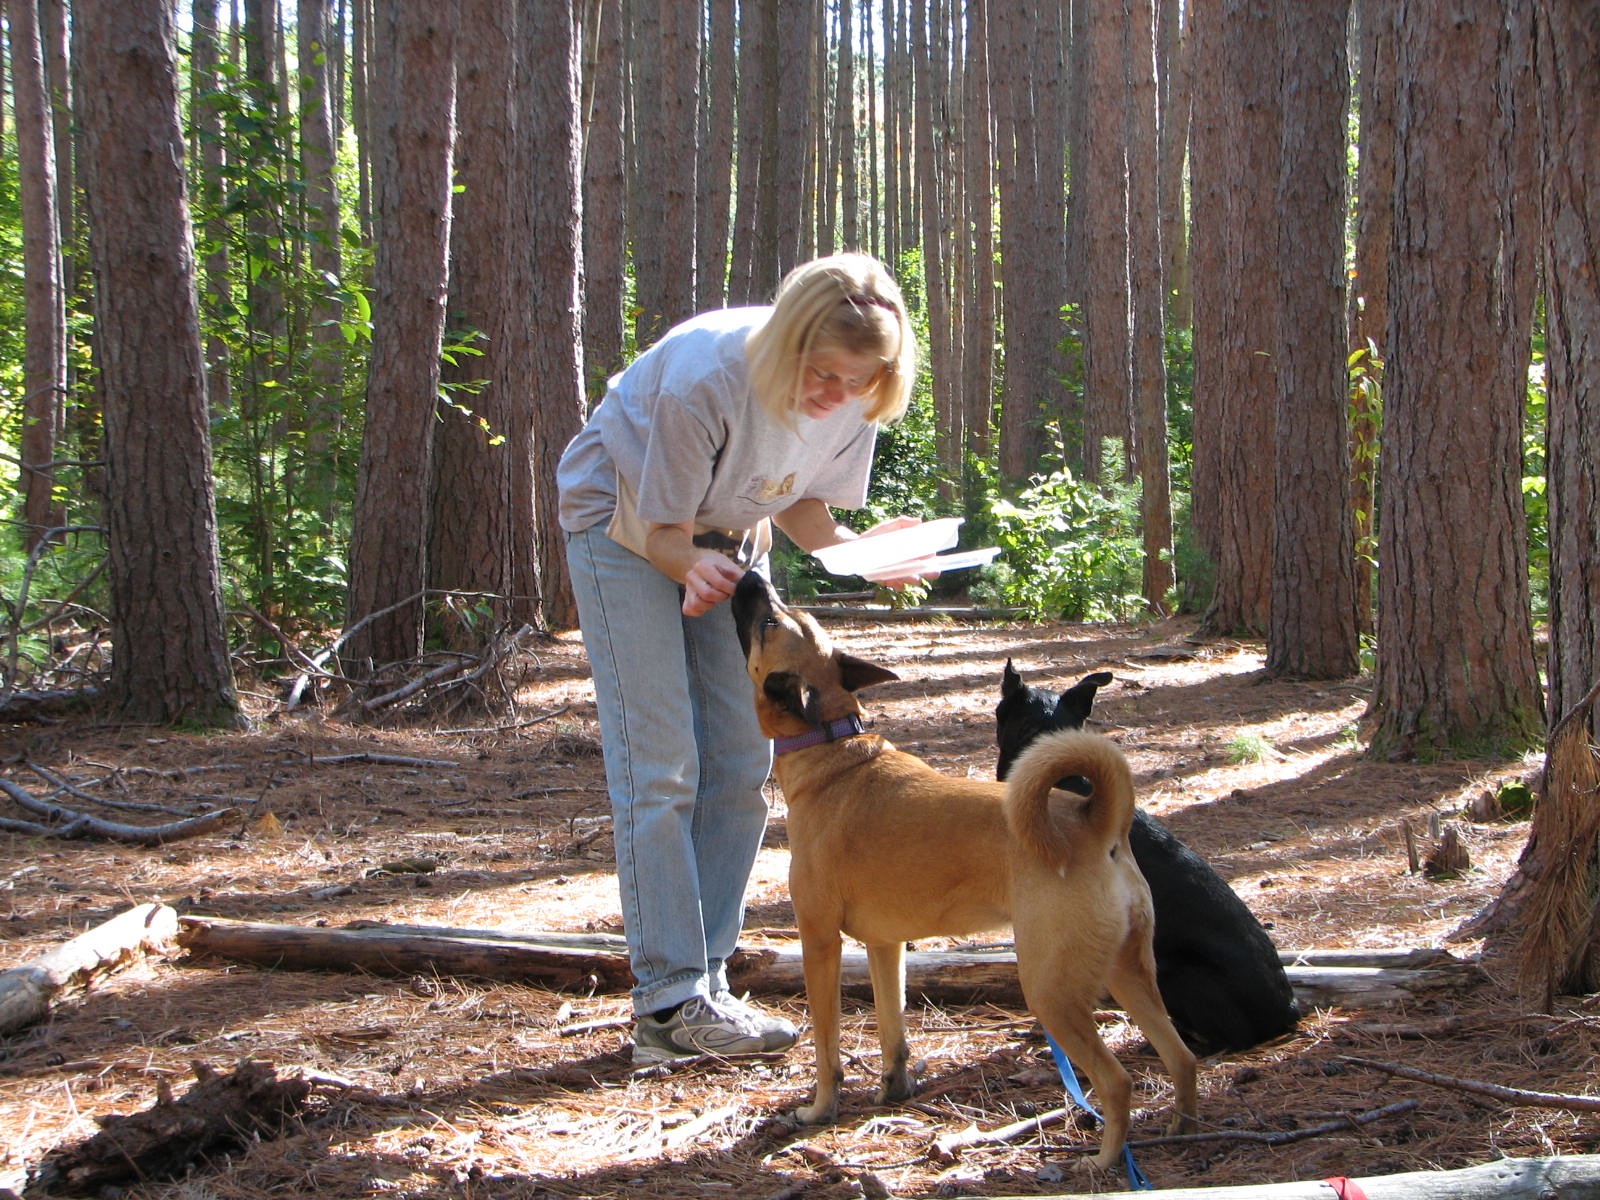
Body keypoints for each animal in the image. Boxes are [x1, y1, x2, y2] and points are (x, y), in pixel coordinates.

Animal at [732, 576, 1196, 1177]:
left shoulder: (820, 943)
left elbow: (828, 1047)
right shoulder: (886, 948)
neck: (833, 748)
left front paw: (820, 1109)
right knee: (1182, 1058)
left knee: (1117, 1083)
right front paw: (894, 1089)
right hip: (1128, 975)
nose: (751, 577)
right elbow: (893, 1030)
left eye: (769, 623)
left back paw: (1103, 1161)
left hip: (1052, 991)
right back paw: (1183, 1128)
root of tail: (1095, 824)